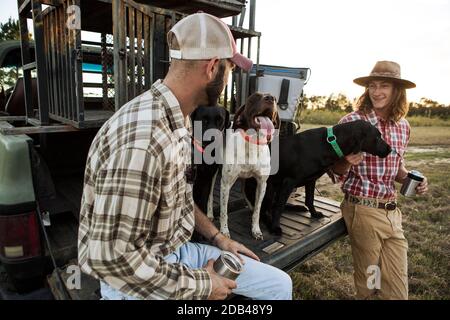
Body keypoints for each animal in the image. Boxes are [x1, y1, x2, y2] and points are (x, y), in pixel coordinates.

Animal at [244, 120, 392, 235]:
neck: (329, 143)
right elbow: (279, 207)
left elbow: (309, 200)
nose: (390, 149)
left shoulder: (311, 180)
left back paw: (297, 208)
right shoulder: (289, 181)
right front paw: (275, 227)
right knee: (265, 209)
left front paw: (314, 214)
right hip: (268, 187)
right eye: (377, 137)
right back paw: (269, 223)